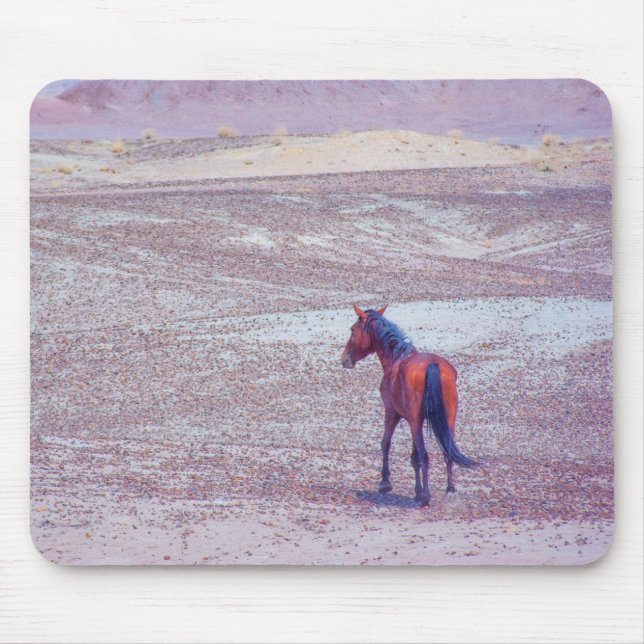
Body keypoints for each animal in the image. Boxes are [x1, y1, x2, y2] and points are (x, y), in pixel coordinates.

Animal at [341, 304, 477, 506]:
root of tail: (433, 365)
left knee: (425, 455)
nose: (344, 359)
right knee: (447, 452)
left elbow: (387, 444)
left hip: (414, 422)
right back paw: (450, 491)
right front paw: (417, 491)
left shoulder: (392, 413)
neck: (396, 357)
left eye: (352, 329)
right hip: (447, 422)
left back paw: (427, 497)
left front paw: (386, 483)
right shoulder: (414, 422)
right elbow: (414, 457)